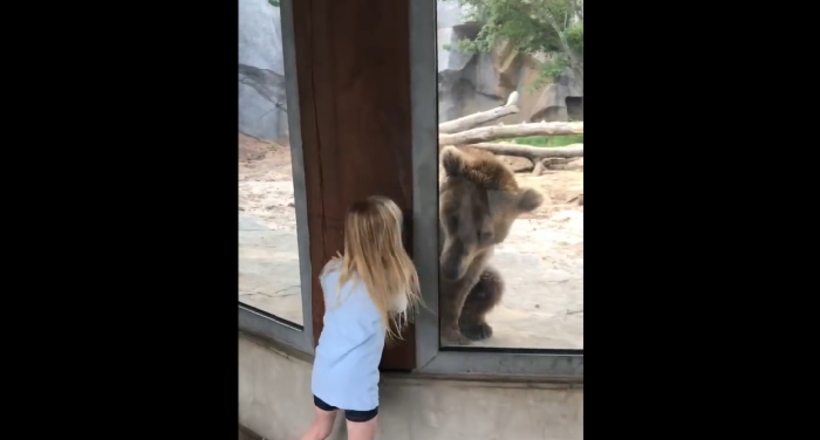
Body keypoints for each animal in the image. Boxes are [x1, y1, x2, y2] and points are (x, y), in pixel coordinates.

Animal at [436, 146, 544, 346]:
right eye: (454, 219)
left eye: (486, 234)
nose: (450, 270)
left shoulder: (477, 255)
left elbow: (461, 287)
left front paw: (454, 332)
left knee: (493, 283)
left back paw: (478, 327)